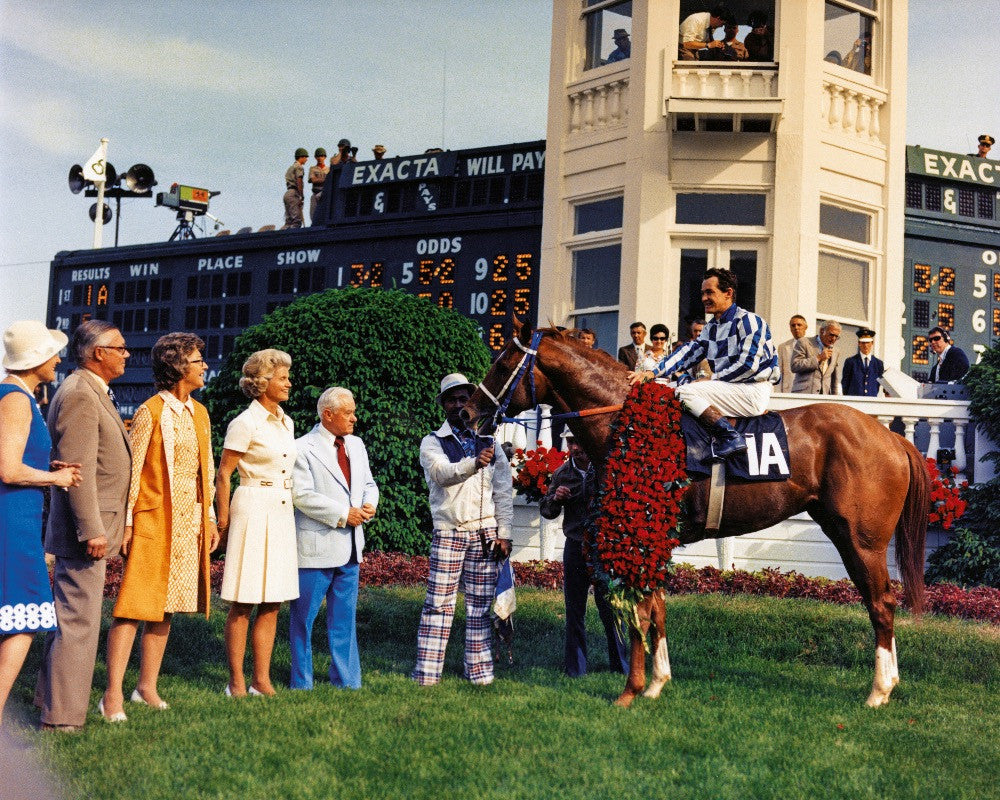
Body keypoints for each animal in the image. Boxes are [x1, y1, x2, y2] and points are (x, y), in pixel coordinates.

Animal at [464, 324, 932, 708]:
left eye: (502, 361)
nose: (468, 413)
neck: (624, 422)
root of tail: (892, 437)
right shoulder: (653, 536)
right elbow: (657, 610)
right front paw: (657, 683)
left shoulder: (640, 535)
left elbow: (640, 614)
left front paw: (631, 690)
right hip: (843, 532)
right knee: (879, 601)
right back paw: (888, 684)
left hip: (862, 539)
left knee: (881, 603)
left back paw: (878, 691)